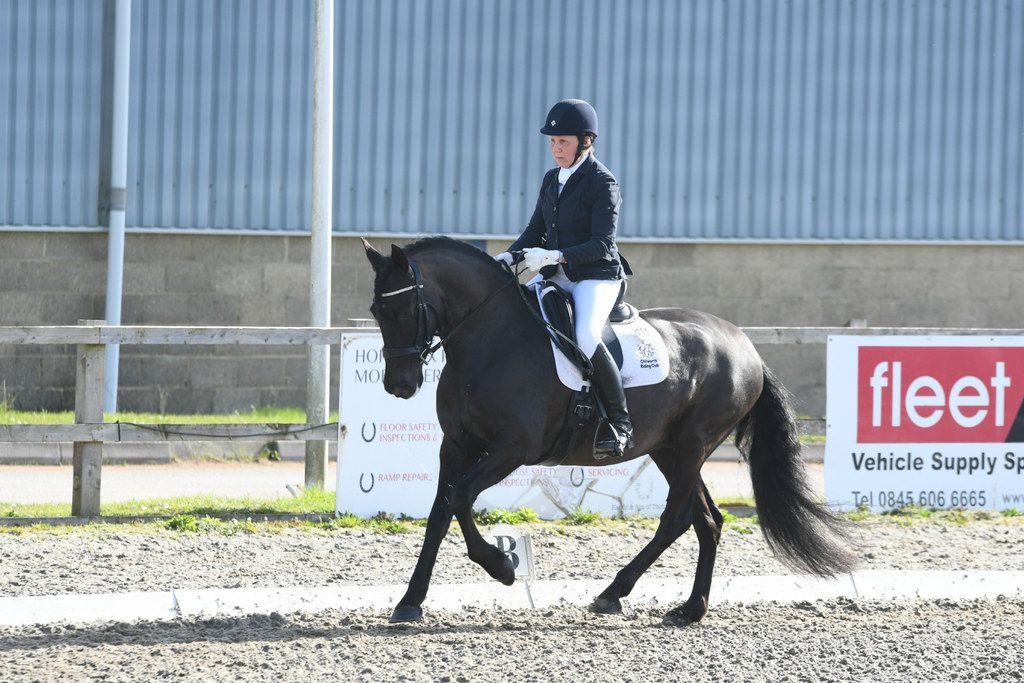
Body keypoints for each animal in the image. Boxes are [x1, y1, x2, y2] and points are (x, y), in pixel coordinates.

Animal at [362, 237, 856, 626]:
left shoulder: (512, 449)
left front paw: (502, 565)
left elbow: (460, 497)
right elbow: (440, 511)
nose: (399, 385)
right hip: (670, 449)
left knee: (677, 519)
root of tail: (744, 345)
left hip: (692, 445)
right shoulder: (456, 446)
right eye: (375, 310)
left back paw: (613, 593)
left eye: (401, 308)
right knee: (708, 520)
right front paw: (410, 602)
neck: (490, 343)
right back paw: (688, 608)